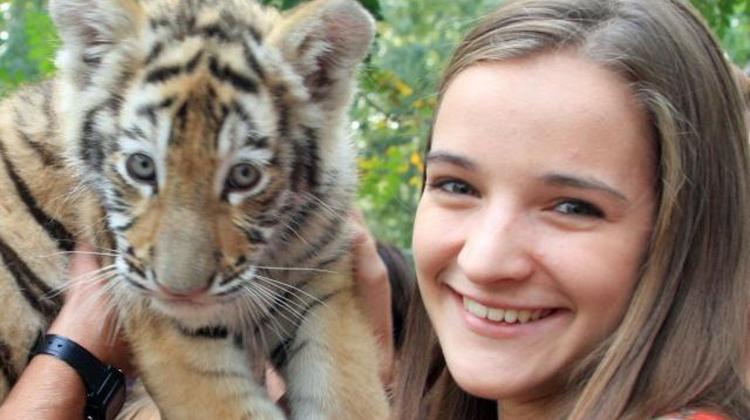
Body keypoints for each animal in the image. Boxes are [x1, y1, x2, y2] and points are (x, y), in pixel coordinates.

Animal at [0, 0, 390, 418]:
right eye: (141, 166)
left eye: (244, 175)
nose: (180, 292)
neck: (273, 253)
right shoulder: (163, 321)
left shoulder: (322, 289)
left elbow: (349, 392)